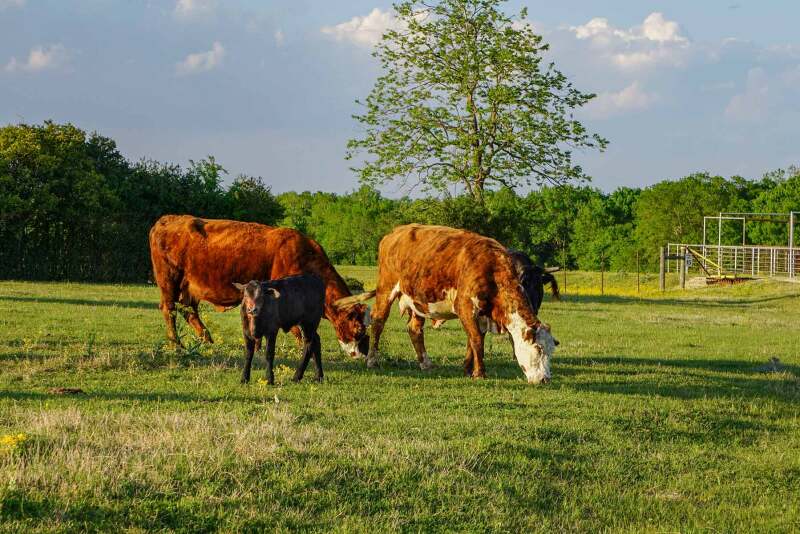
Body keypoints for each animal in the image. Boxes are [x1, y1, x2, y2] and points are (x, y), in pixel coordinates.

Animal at [149, 215, 370, 358]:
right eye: (359, 327)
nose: (361, 354)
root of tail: (167, 219)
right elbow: (296, 328)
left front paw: (257, 347)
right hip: (169, 279)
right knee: (169, 309)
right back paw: (176, 344)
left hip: (189, 286)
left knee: (188, 310)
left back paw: (207, 341)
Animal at [337, 224, 556, 384]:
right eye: (538, 348)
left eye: (551, 350)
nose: (545, 379)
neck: (492, 269)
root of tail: (395, 232)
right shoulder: (465, 306)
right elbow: (476, 340)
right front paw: (480, 373)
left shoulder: (482, 314)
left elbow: (473, 341)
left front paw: (467, 369)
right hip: (386, 289)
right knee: (378, 323)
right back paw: (372, 360)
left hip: (417, 300)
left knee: (414, 329)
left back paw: (426, 363)